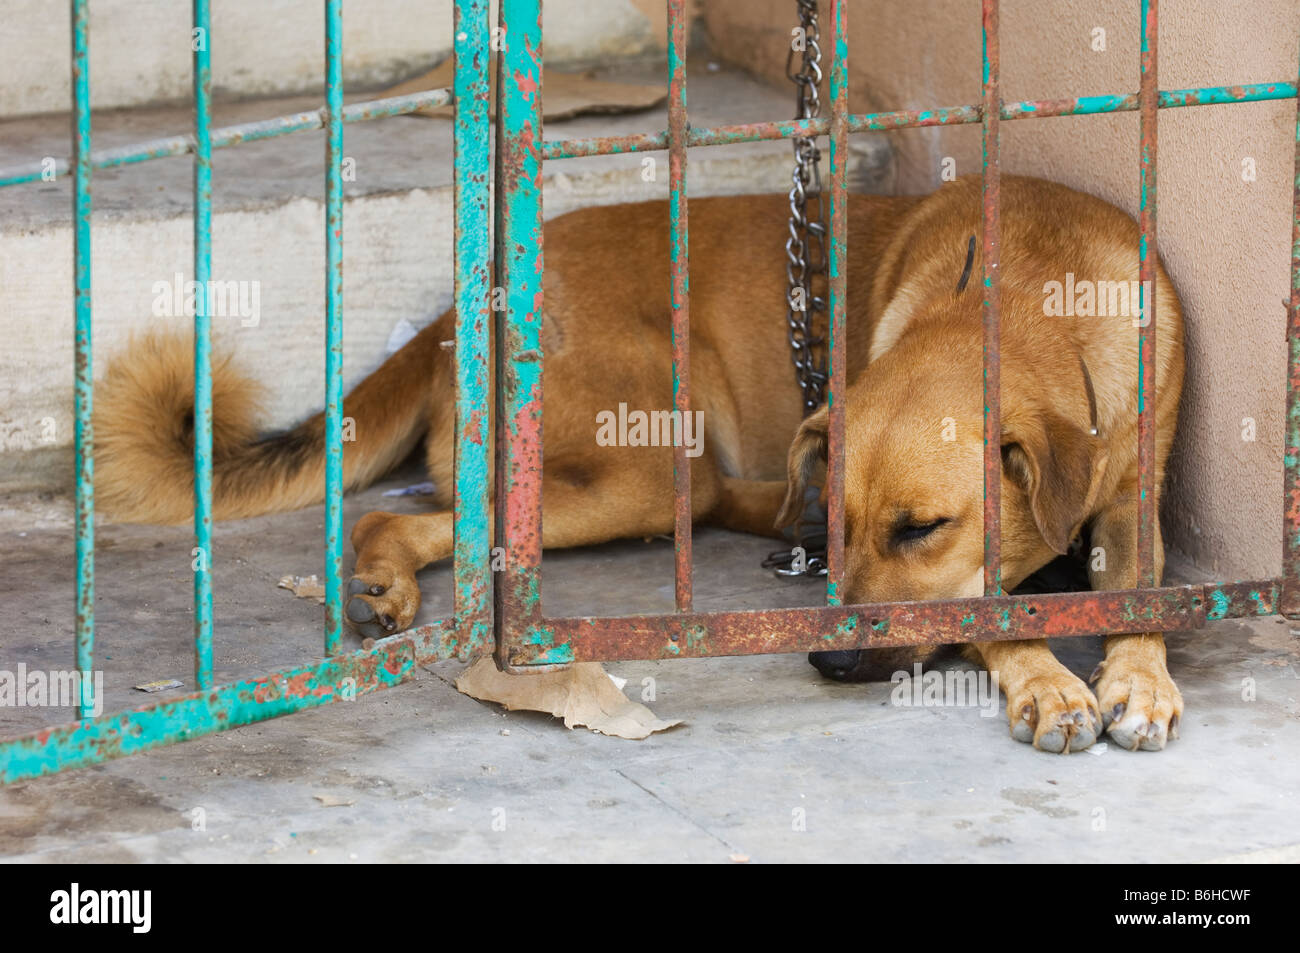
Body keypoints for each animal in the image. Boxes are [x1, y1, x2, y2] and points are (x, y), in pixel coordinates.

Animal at [96, 171, 1185, 748]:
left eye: (923, 527)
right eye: (851, 528)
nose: (827, 659)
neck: (1029, 296)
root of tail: (460, 309)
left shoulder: (1133, 502)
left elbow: (1142, 593)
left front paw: (1135, 676)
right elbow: (987, 615)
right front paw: (1046, 679)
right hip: (654, 463)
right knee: (411, 517)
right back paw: (388, 576)